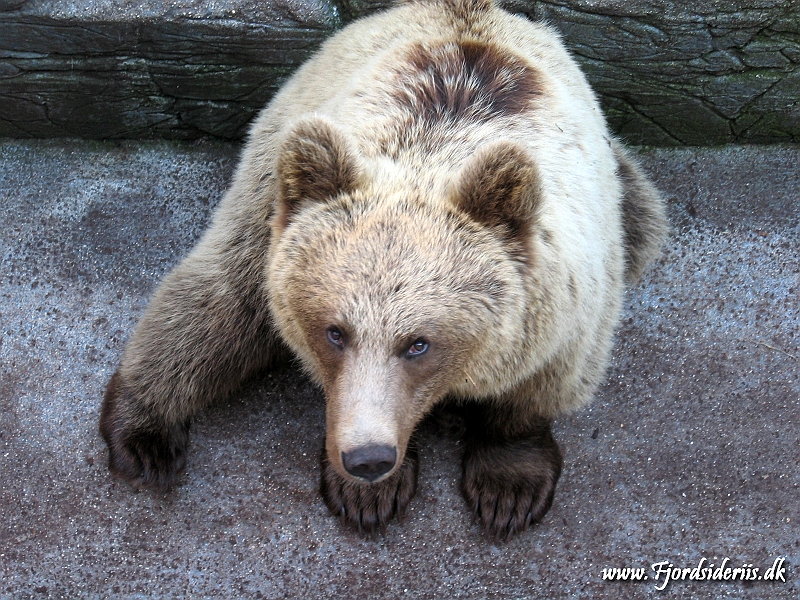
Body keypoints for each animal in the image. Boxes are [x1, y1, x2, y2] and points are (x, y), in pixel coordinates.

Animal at [100, 0, 668, 540]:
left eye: (419, 343)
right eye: (334, 332)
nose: (367, 458)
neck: (436, 155)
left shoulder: (571, 299)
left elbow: (534, 390)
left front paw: (508, 489)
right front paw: (368, 495)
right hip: (273, 170)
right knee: (218, 301)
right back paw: (145, 434)